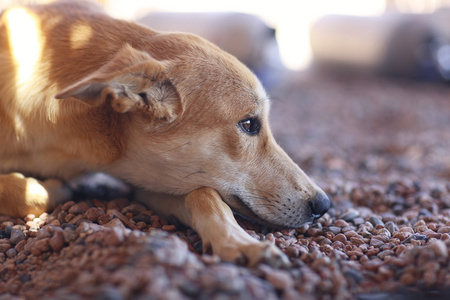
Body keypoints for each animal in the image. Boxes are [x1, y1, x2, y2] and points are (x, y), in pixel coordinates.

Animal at [0, 0, 330, 268]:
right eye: (249, 124)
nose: (324, 205)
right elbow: (25, 191)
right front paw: (53, 187)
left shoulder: (159, 180)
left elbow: (206, 195)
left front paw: (238, 242)